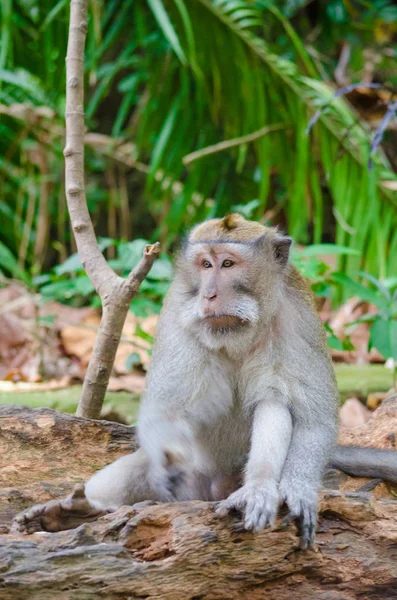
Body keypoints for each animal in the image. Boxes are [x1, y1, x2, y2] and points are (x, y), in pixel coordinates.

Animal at [12, 214, 396, 548]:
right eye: (205, 265)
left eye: (228, 264)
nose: (209, 295)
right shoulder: (176, 309)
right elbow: (165, 408)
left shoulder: (300, 314)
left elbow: (312, 419)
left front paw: (296, 487)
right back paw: (75, 512)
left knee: (274, 402)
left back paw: (255, 488)